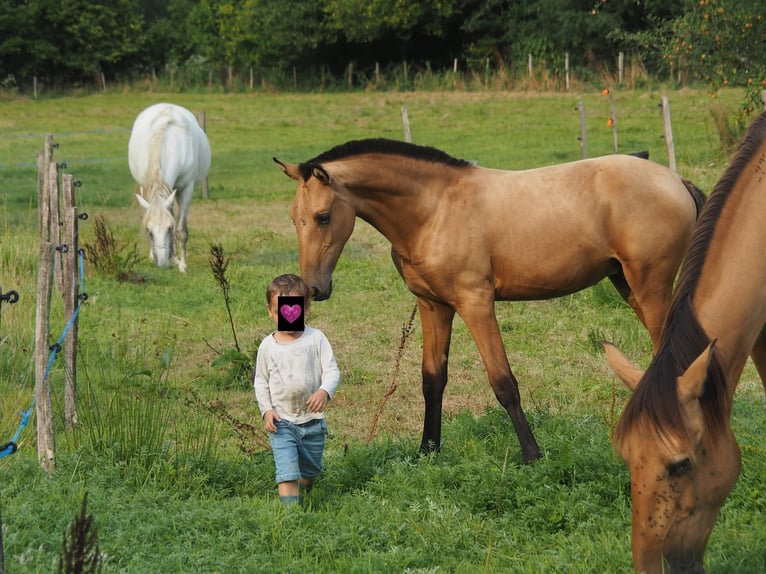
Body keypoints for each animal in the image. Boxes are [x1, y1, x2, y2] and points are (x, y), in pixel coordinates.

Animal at [128, 102, 211, 272]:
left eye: (169, 228)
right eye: (149, 231)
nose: (162, 264)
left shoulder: (186, 189)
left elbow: (181, 230)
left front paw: (182, 265)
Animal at [274, 137, 706, 464]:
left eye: (324, 216)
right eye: (294, 217)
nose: (314, 288)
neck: (434, 211)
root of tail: (675, 179)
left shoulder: (476, 303)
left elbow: (503, 382)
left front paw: (532, 454)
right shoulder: (434, 306)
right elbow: (433, 379)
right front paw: (428, 450)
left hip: (650, 287)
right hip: (626, 284)